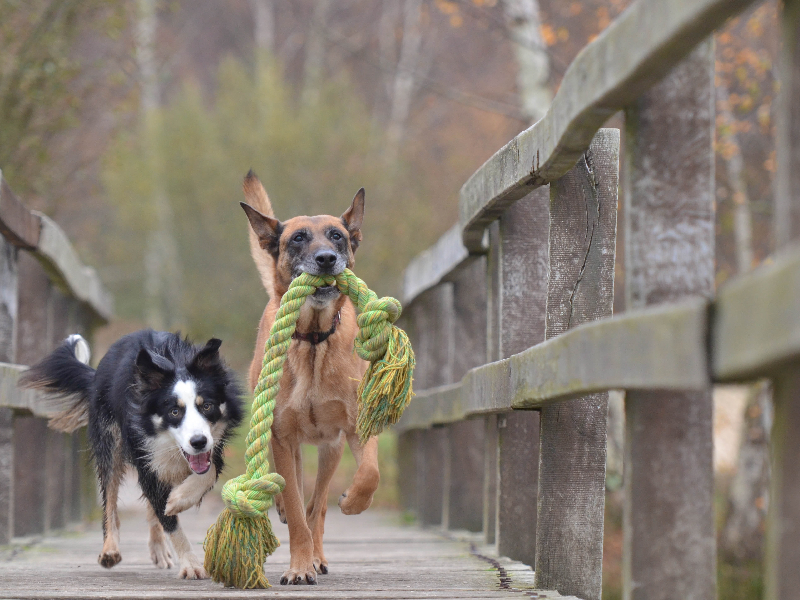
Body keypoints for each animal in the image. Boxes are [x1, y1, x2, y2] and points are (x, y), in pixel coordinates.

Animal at [18, 330, 242, 580]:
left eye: (207, 406)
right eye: (174, 411)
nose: (198, 442)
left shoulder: (214, 446)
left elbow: (207, 472)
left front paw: (179, 499)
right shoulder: (144, 454)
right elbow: (169, 520)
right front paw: (191, 564)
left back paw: (158, 547)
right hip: (109, 441)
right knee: (110, 498)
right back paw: (110, 550)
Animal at [239, 171, 380, 584]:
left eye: (337, 236)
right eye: (298, 238)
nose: (327, 259)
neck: (315, 339)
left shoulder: (356, 427)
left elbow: (369, 473)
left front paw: (353, 502)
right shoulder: (282, 437)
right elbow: (297, 507)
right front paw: (299, 567)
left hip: (330, 449)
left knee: (318, 505)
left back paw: (319, 551)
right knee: (298, 498)